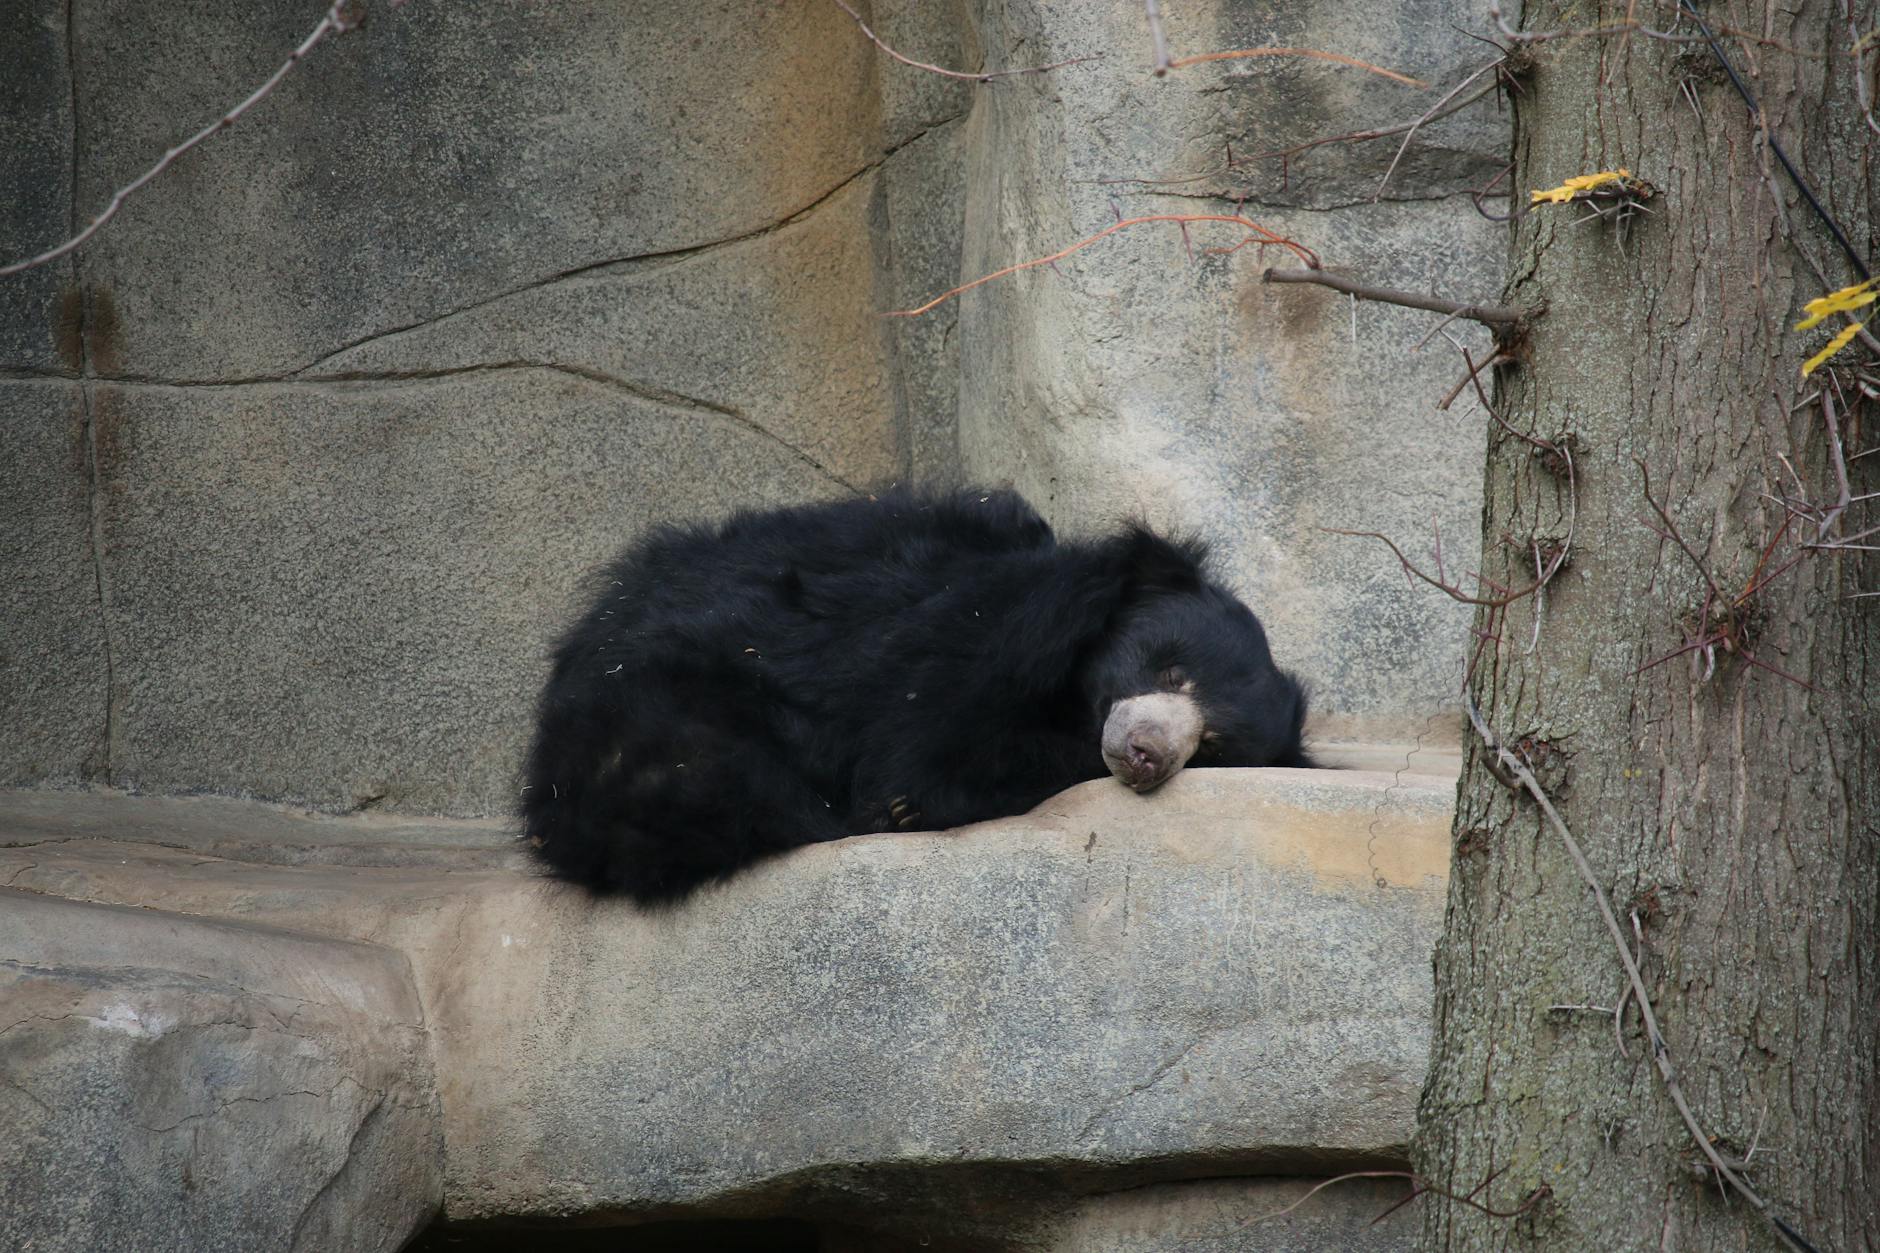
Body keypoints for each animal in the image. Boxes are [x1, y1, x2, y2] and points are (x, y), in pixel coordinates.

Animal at [521, 488, 1310, 904]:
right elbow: (922, 754)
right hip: (666, 720)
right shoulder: (970, 637)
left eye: (1211, 746)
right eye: (1170, 672)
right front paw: (902, 806)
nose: (1145, 753)